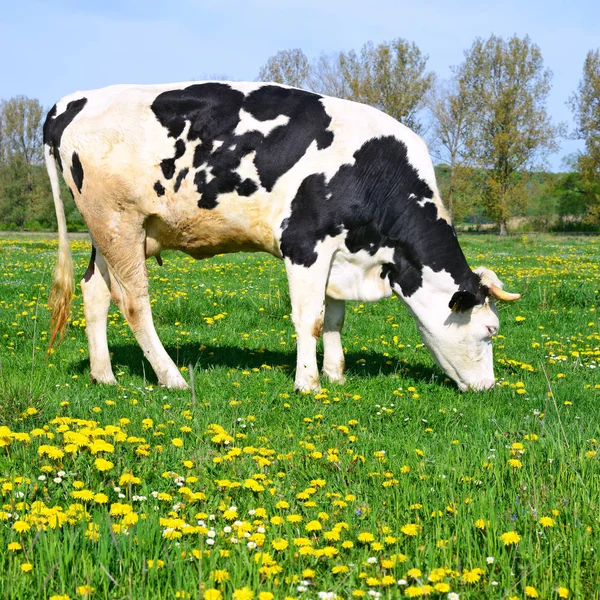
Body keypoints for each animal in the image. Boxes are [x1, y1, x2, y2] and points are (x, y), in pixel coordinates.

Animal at [42, 82, 520, 396]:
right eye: (490, 330)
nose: (489, 387)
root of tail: (72, 100)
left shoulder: (340, 251)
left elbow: (335, 317)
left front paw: (336, 374)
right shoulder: (304, 243)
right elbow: (310, 318)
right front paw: (308, 383)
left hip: (111, 233)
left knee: (96, 292)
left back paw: (104, 375)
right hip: (118, 223)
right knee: (135, 302)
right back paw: (172, 378)